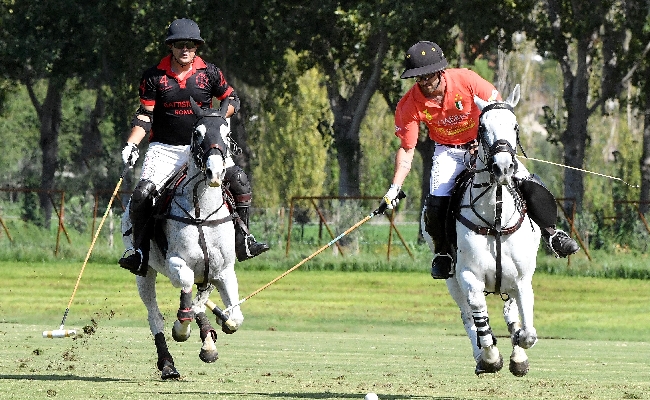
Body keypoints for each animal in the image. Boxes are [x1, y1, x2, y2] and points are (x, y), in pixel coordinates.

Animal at [121, 98, 243, 380]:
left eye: (227, 134)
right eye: (197, 134)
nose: (214, 173)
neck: (202, 213)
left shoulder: (222, 270)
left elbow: (233, 316)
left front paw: (213, 334)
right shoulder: (177, 262)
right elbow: (186, 290)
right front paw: (181, 329)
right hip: (145, 272)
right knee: (154, 315)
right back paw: (167, 365)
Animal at [422, 84, 540, 376]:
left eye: (515, 126)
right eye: (482, 127)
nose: (503, 168)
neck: (495, 218)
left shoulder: (522, 279)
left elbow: (527, 330)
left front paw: (519, 354)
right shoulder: (468, 275)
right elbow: (479, 316)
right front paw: (490, 358)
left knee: (510, 310)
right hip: (451, 279)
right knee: (467, 315)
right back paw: (481, 356)